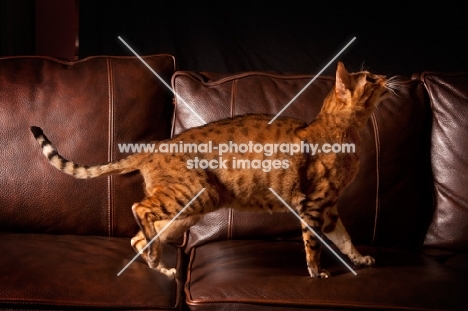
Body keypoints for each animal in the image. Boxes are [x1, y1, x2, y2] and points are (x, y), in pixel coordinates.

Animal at [30, 62, 398, 280]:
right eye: (370, 78)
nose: (387, 77)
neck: (343, 132)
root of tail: (156, 146)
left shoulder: (330, 207)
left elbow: (345, 239)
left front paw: (360, 259)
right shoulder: (313, 204)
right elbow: (315, 245)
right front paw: (316, 272)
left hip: (187, 214)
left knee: (138, 236)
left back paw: (159, 265)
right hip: (194, 195)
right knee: (139, 209)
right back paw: (156, 259)